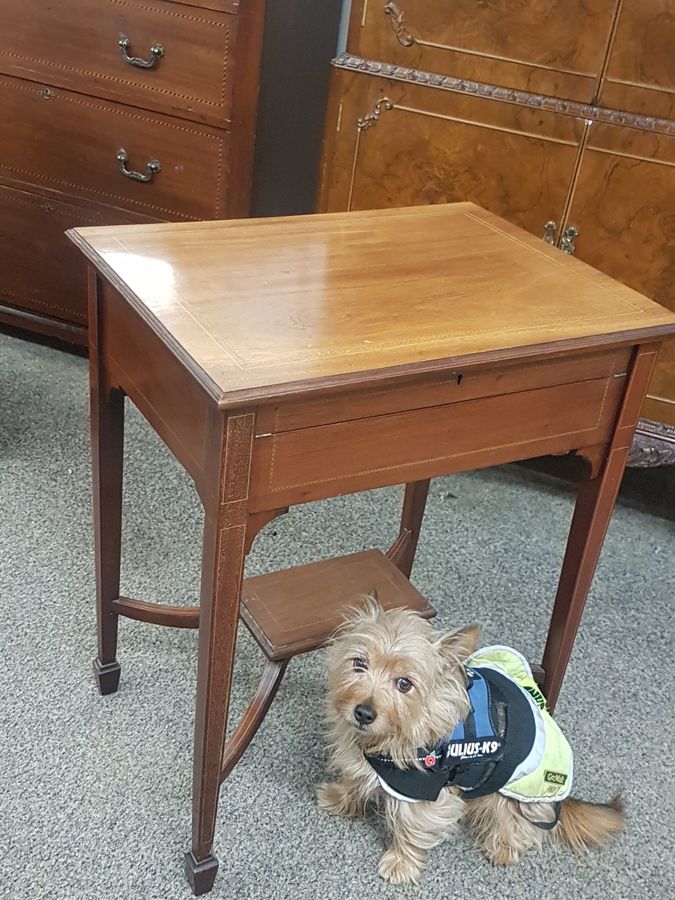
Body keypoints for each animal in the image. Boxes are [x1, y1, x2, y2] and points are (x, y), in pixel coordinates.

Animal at [320, 596, 624, 884]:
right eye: (359, 663)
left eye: (404, 683)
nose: (363, 713)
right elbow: (354, 779)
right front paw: (340, 798)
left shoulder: (424, 790)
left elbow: (411, 826)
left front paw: (401, 863)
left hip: (509, 794)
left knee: (520, 823)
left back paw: (503, 848)